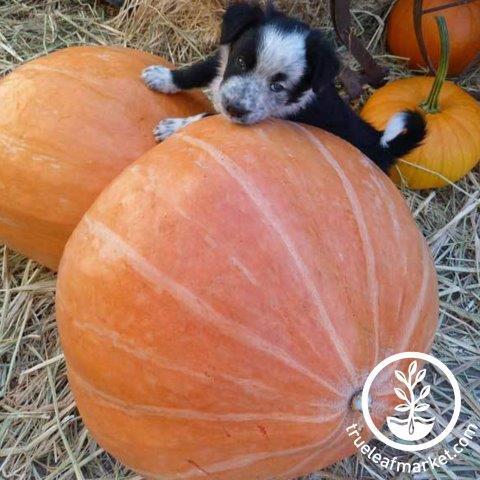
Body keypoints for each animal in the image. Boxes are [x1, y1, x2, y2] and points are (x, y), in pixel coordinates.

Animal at [141, 0, 426, 172]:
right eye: (241, 62)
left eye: (278, 86)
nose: (234, 108)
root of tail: (381, 143)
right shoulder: (224, 61)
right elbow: (196, 70)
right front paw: (161, 77)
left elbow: (206, 117)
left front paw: (172, 127)